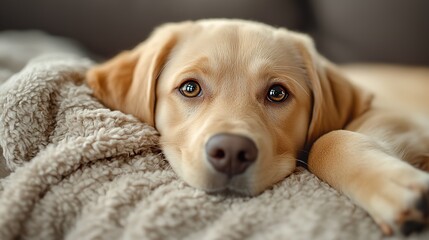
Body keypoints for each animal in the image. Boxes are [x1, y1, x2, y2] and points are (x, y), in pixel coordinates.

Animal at [86, 19, 428, 236]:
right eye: (190, 88)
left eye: (277, 93)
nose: (231, 152)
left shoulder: (399, 120)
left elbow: (325, 141)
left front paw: (395, 188)